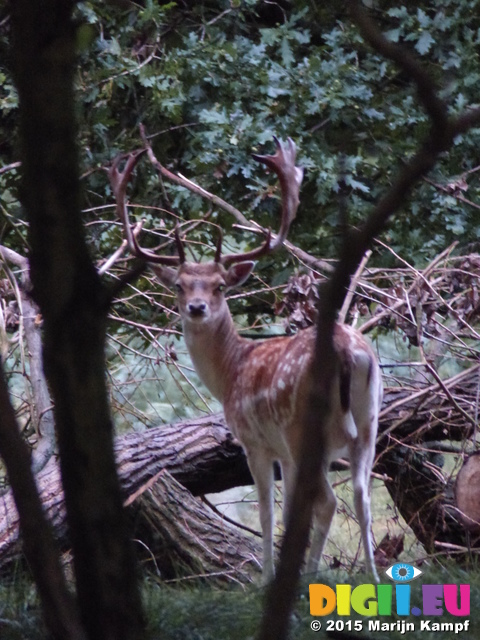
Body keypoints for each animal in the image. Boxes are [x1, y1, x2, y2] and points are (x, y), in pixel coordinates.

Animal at [109, 138, 382, 584]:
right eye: (180, 286)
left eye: (220, 286)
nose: (197, 307)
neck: (230, 373)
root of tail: (348, 352)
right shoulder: (281, 451)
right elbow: (287, 513)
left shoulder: (256, 442)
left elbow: (269, 513)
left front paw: (265, 579)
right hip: (371, 419)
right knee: (362, 496)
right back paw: (374, 579)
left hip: (304, 428)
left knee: (327, 502)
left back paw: (309, 579)